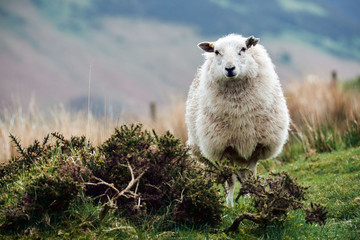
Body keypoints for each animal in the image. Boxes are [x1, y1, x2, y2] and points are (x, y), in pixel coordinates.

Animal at [186, 33, 290, 206]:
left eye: (243, 49)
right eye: (216, 52)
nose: (229, 68)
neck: (239, 110)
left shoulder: (256, 148)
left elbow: (251, 177)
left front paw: (252, 199)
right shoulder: (224, 148)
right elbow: (230, 180)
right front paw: (229, 205)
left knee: (244, 174)